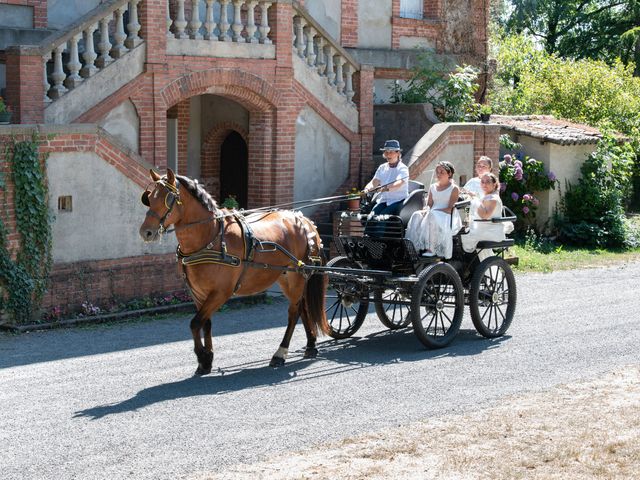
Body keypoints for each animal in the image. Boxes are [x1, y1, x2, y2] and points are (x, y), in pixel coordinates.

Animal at [140, 169, 330, 376]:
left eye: (168, 198)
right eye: (149, 198)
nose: (146, 232)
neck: (210, 237)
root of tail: (303, 220)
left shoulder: (221, 293)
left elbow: (195, 323)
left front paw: (203, 357)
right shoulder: (198, 293)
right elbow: (205, 322)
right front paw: (206, 361)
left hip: (297, 276)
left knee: (293, 312)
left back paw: (280, 353)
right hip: (286, 277)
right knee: (302, 307)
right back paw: (311, 344)